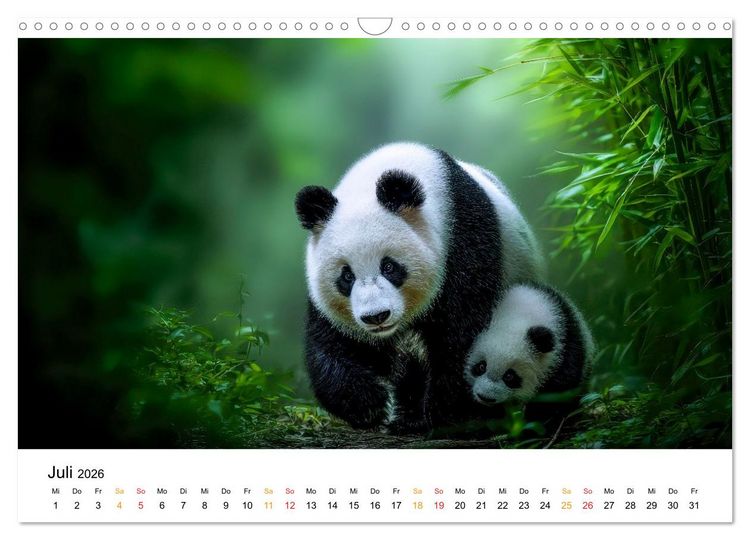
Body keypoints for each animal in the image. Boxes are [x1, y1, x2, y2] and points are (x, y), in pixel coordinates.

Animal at [294, 142, 544, 431]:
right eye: (346, 276)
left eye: (389, 267)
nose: (376, 316)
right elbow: (334, 340)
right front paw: (367, 404)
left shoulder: (465, 240)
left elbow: (463, 333)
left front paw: (451, 413)